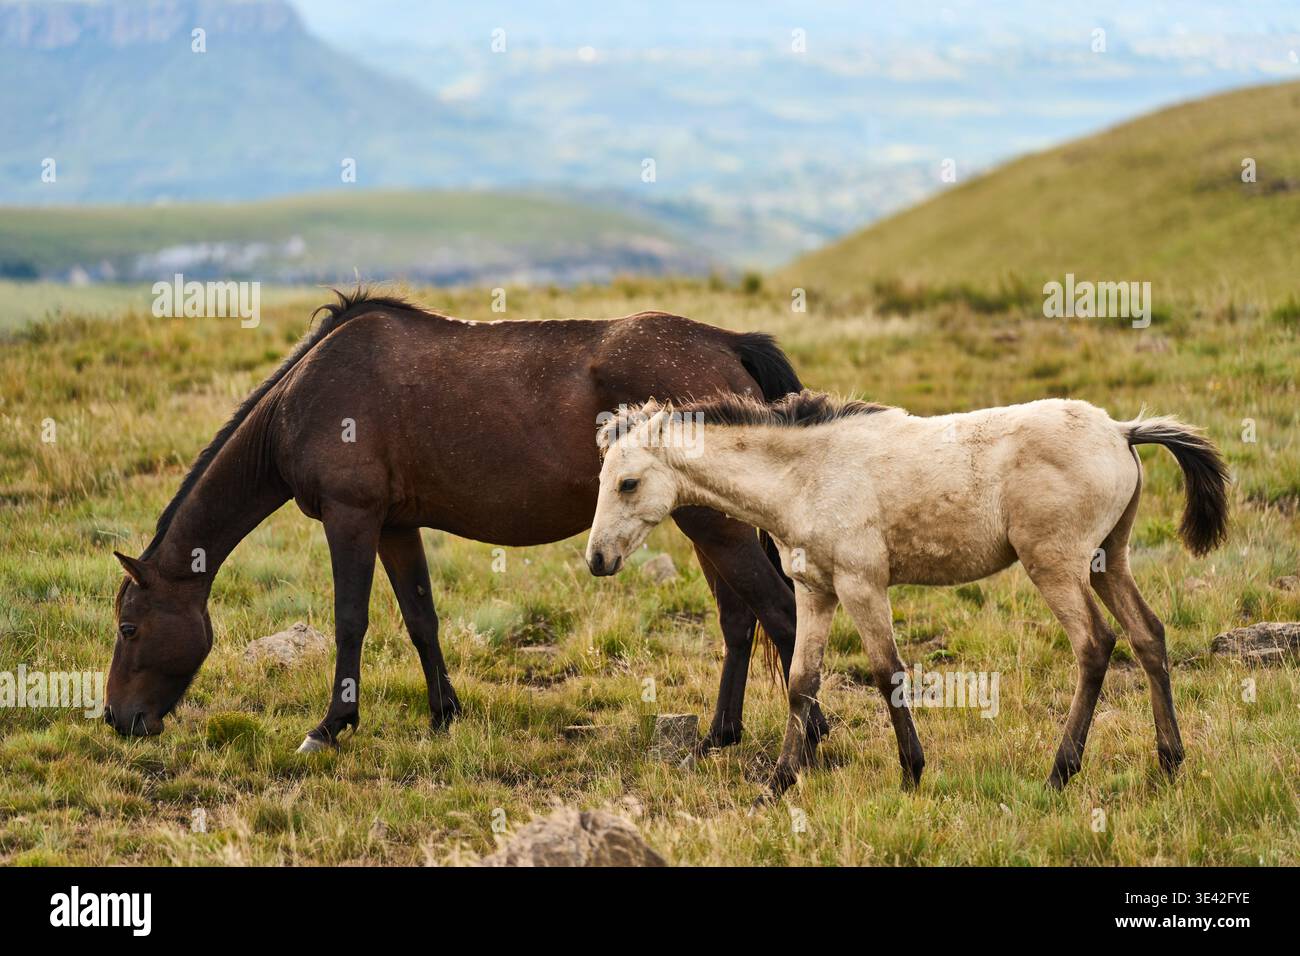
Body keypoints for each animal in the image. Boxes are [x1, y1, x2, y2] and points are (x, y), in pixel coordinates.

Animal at [106, 289, 832, 754]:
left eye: (129, 626)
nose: (117, 718)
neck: (302, 399)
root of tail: (727, 343)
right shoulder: (395, 527)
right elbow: (420, 618)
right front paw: (443, 714)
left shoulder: (351, 519)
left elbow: (350, 620)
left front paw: (331, 726)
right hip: (704, 521)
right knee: (741, 619)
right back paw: (719, 735)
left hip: (714, 525)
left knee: (779, 611)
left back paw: (810, 739)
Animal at [586, 390, 1230, 802]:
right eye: (601, 480)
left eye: (628, 483)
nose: (596, 559)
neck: (807, 474)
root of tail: (1120, 430)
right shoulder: (817, 591)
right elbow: (801, 682)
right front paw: (779, 782)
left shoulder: (861, 584)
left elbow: (886, 671)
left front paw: (912, 773)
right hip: (1107, 562)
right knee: (1148, 635)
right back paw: (1169, 763)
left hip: (1055, 564)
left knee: (1096, 645)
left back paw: (1059, 773)